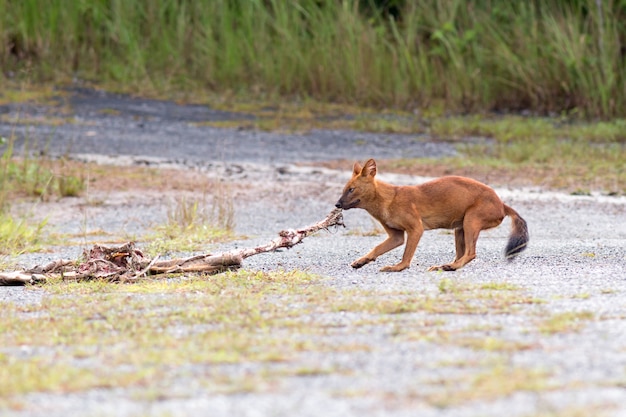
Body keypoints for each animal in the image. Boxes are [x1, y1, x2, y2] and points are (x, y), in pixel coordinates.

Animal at [332, 158, 528, 272]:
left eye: (351, 189)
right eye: (344, 189)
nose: (337, 204)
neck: (387, 201)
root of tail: (502, 204)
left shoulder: (416, 228)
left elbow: (406, 255)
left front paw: (397, 268)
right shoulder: (396, 235)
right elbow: (377, 248)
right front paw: (360, 262)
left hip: (471, 220)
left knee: (471, 253)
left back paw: (451, 266)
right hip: (460, 228)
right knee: (462, 253)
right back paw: (445, 266)